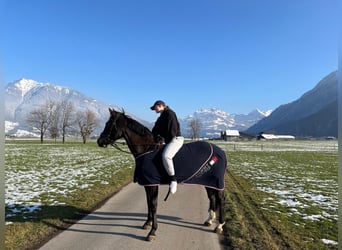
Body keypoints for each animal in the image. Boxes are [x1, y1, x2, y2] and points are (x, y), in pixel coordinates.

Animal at [97, 108, 227, 241]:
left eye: (109, 124)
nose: (99, 141)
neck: (147, 149)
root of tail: (221, 151)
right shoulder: (148, 184)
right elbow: (148, 203)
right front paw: (147, 223)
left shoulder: (153, 184)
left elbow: (153, 205)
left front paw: (153, 231)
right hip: (208, 181)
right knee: (211, 197)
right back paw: (209, 220)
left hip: (216, 182)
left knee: (220, 199)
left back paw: (219, 225)